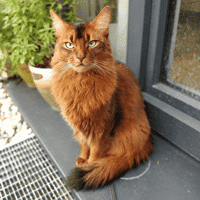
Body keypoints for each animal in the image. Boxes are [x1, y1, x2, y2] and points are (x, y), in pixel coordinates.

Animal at [50, 6, 153, 191]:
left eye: (92, 43)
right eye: (69, 45)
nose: (80, 57)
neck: (80, 85)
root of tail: (147, 143)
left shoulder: (102, 129)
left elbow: (95, 152)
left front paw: (89, 164)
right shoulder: (79, 128)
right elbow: (84, 145)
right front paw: (82, 158)